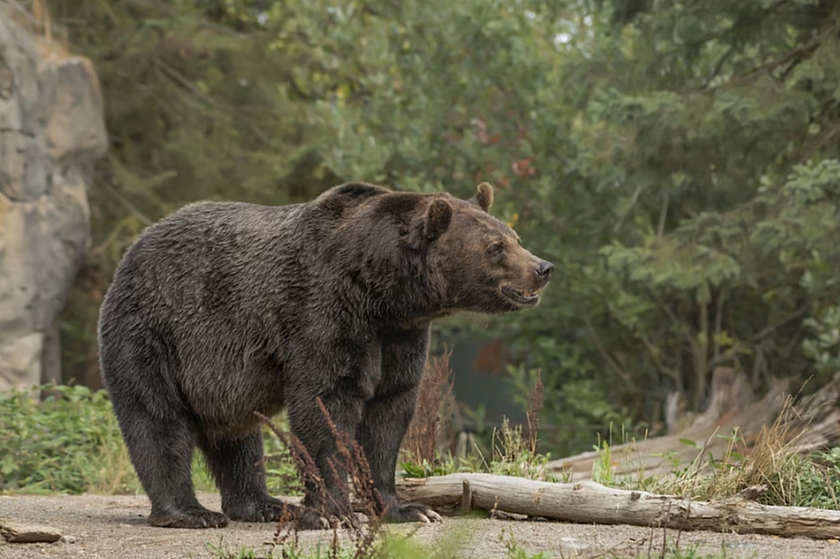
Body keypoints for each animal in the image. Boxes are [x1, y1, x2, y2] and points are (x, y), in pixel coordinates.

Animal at [97, 181, 553, 529]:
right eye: (496, 246)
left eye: (515, 237)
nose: (543, 267)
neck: (382, 292)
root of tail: (133, 248)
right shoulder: (323, 311)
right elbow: (325, 406)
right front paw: (334, 512)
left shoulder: (399, 336)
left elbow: (389, 412)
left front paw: (407, 508)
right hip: (155, 331)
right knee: (157, 418)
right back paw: (190, 513)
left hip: (220, 374)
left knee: (238, 436)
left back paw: (263, 504)